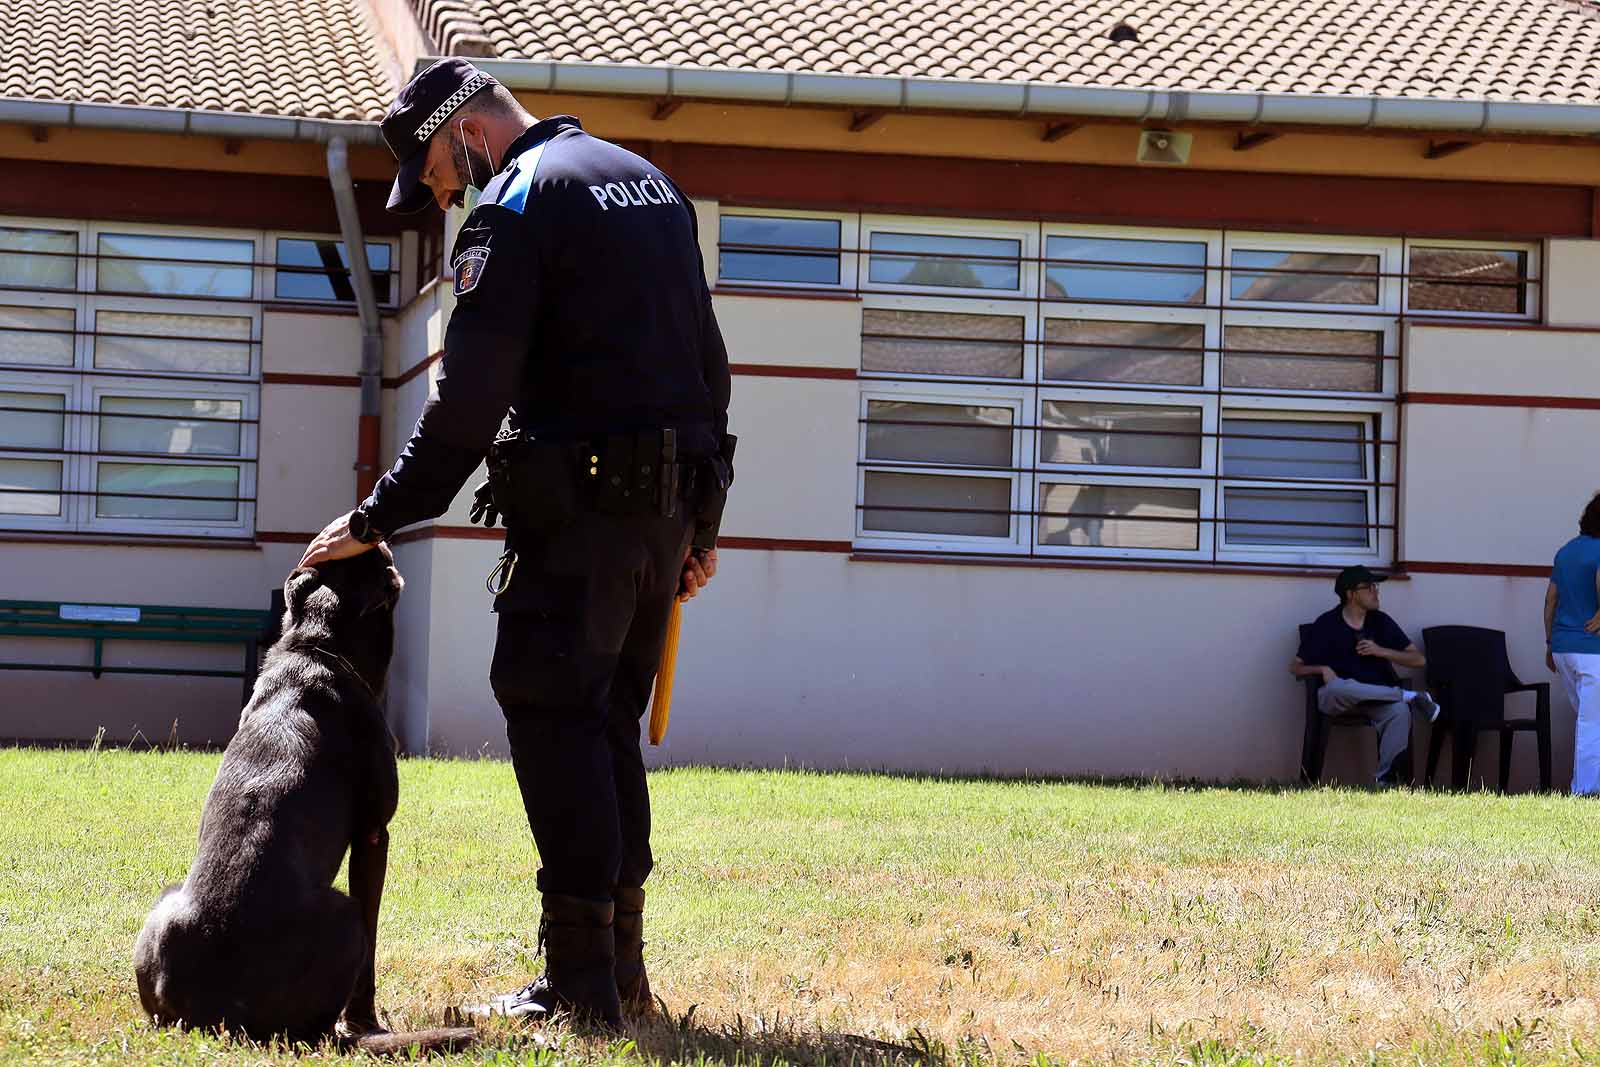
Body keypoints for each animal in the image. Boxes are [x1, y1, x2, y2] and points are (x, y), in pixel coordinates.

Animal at [135, 543, 467, 1049]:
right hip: (344, 916)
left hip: (164, 906)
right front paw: (367, 1021)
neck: (317, 647)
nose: (371, 536)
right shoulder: (374, 833)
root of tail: (216, 1011)